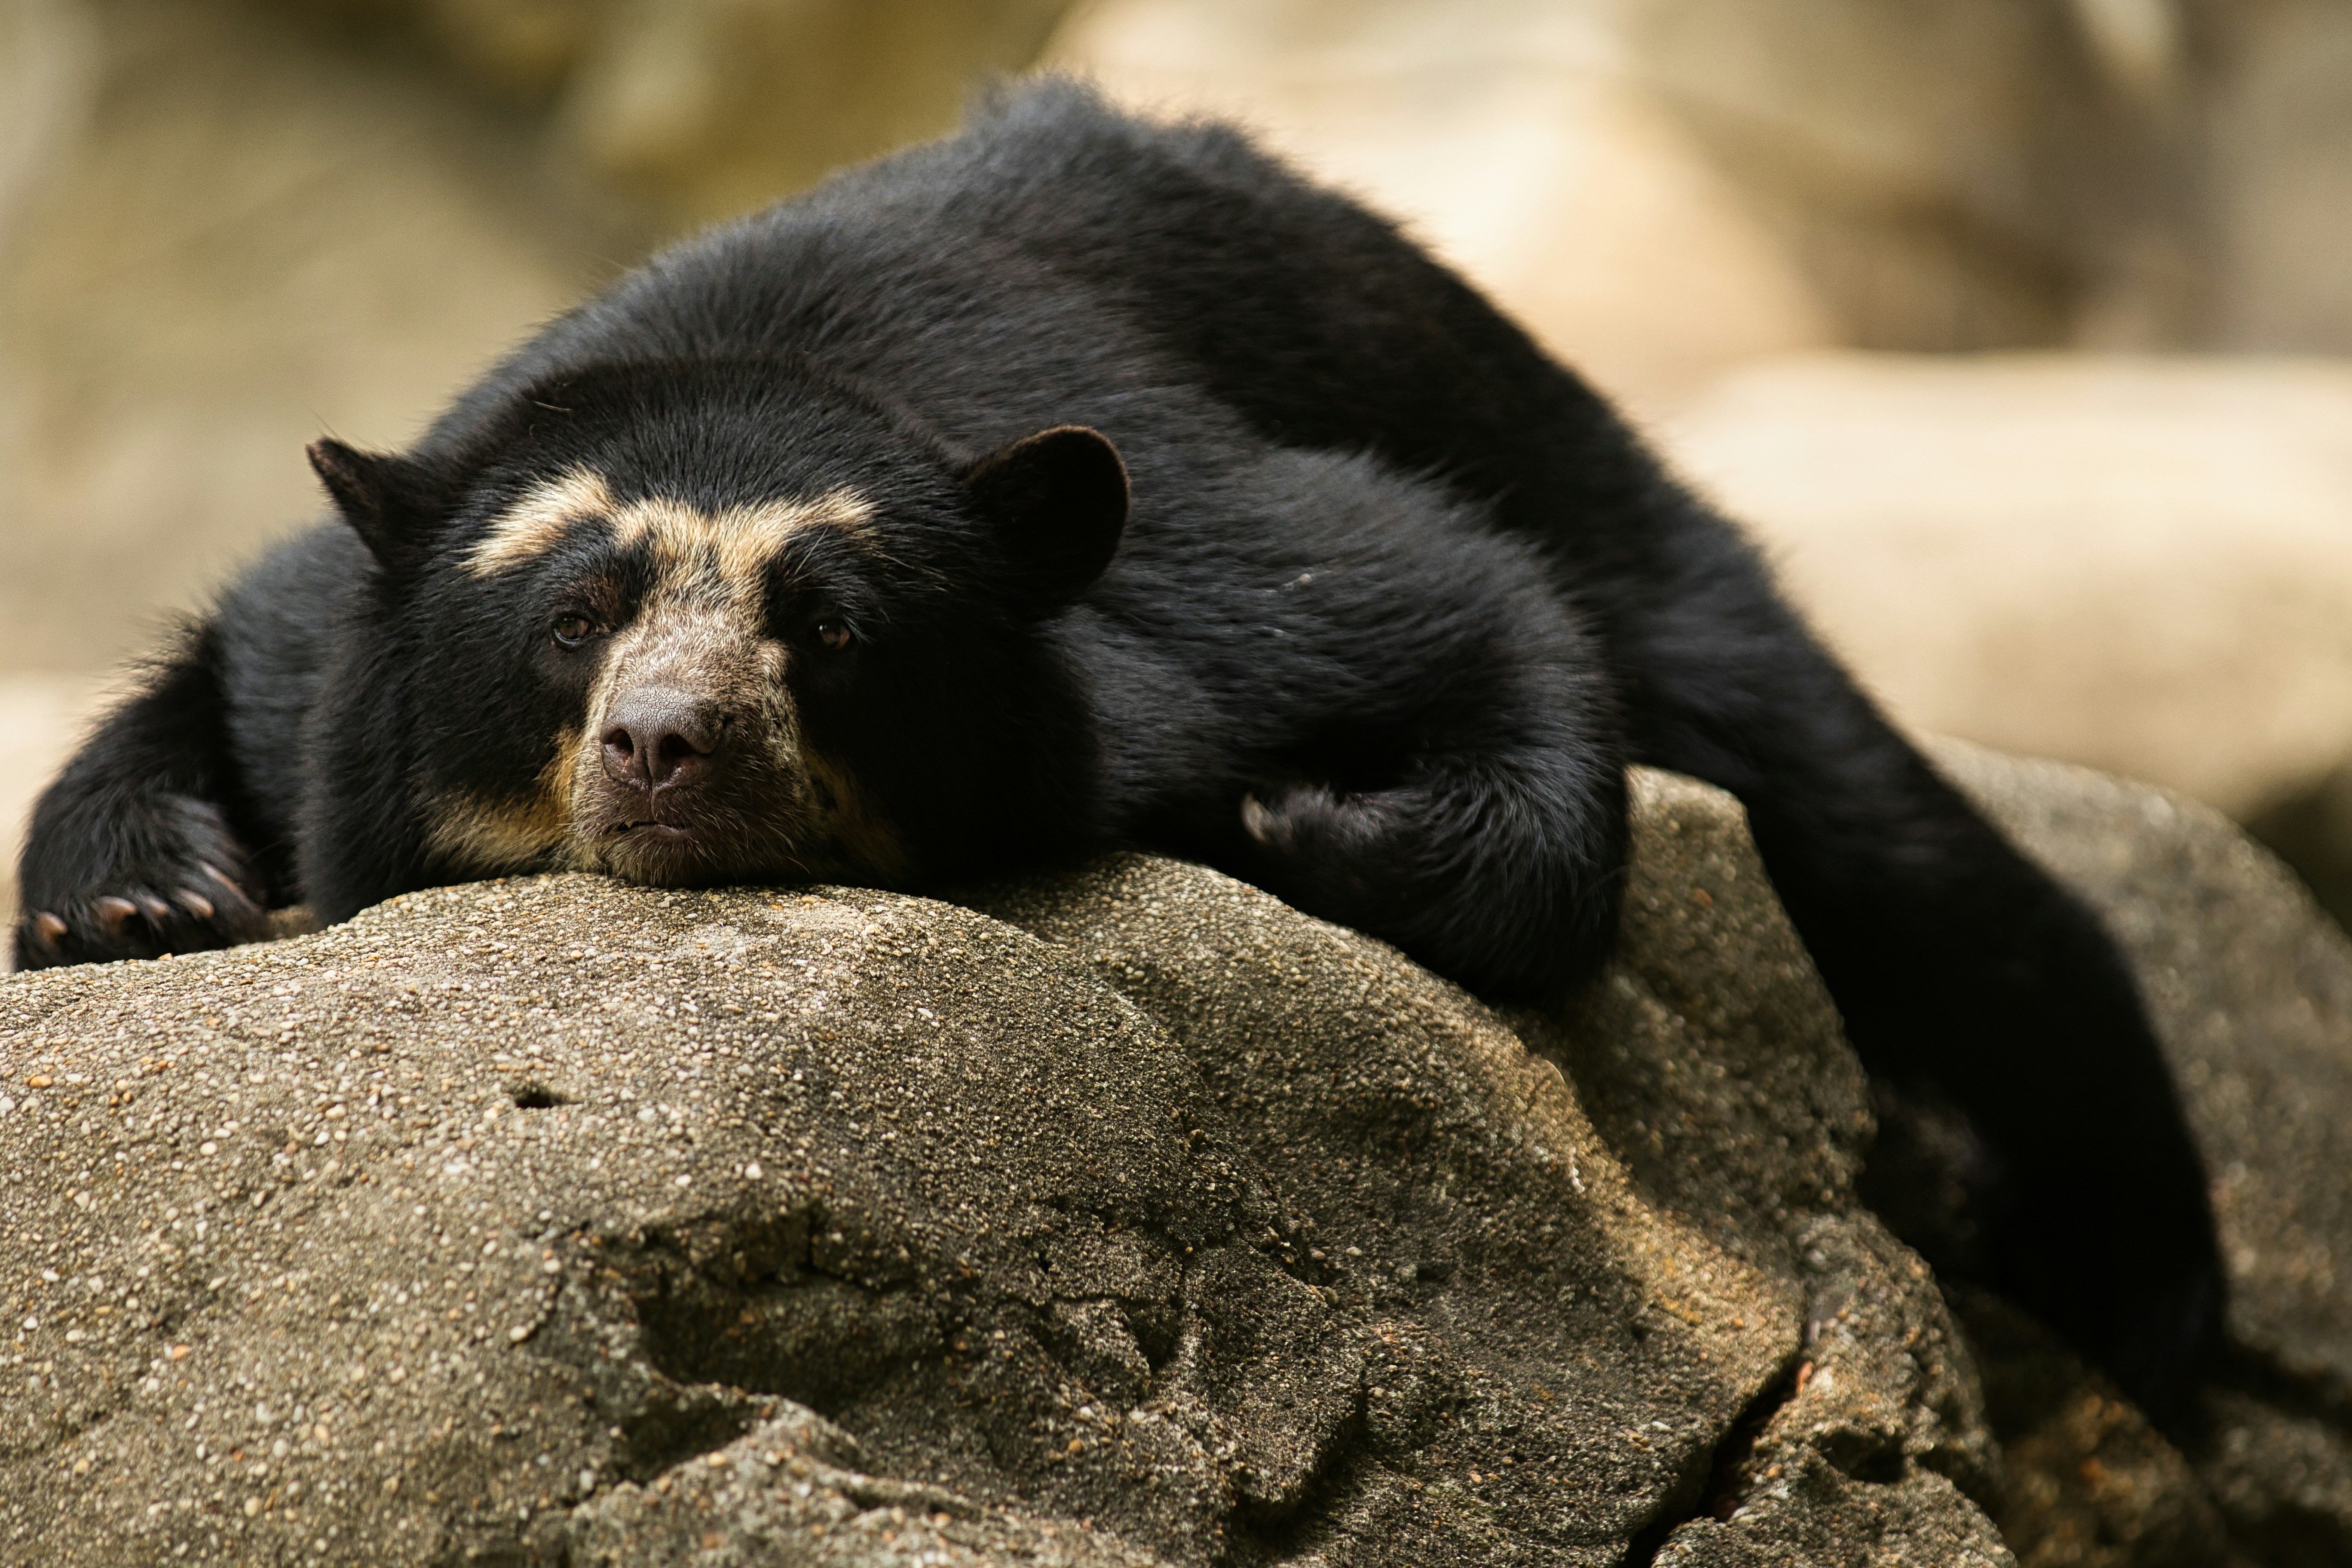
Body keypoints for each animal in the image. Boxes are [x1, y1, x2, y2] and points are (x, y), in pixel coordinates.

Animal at [13, 80, 2217, 1420]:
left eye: (832, 629)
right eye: (570, 618)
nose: (666, 749)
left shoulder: (1210, 577)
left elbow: (1443, 595)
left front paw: (1304, 815)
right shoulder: (331, 623)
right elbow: (224, 674)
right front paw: (144, 900)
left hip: (1581, 456)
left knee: (1885, 839)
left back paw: (2151, 1312)